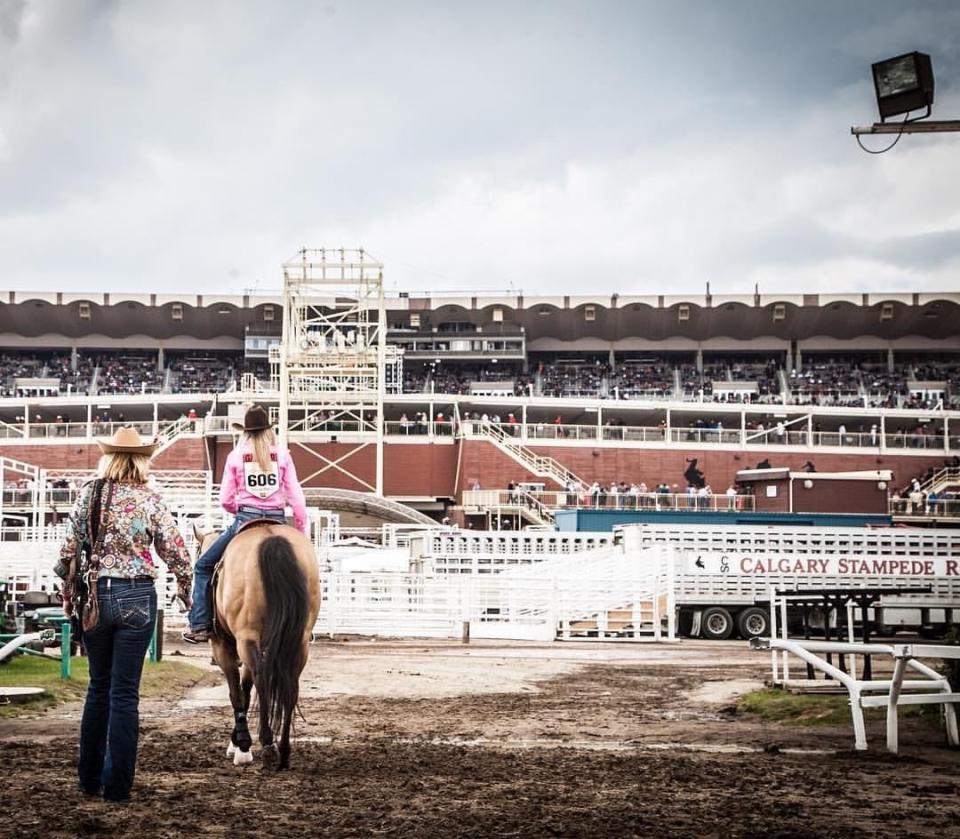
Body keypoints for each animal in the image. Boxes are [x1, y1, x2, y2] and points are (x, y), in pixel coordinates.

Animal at [194, 520, 322, 772]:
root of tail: (272, 539)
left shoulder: (223, 646)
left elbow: (236, 692)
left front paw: (241, 745)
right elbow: (245, 688)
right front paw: (237, 742)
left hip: (246, 638)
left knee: (262, 680)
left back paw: (268, 746)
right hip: (299, 641)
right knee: (290, 685)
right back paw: (284, 751)